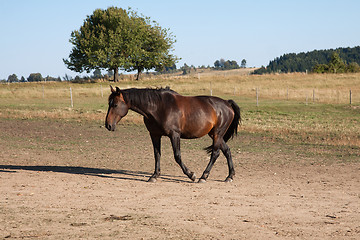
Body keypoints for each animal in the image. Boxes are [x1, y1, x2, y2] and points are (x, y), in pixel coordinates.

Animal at [105, 86, 240, 182]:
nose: (108, 125)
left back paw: (203, 177)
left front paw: (191, 175)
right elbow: (157, 155)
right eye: (109, 104)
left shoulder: (174, 135)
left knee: (215, 153)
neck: (158, 107)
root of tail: (227, 103)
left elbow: (177, 156)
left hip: (217, 134)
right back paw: (229, 176)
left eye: (115, 104)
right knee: (227, 151)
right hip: (215, 135)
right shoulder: (154, 135)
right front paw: (154, 175)